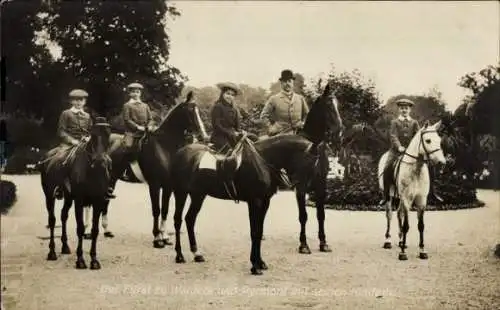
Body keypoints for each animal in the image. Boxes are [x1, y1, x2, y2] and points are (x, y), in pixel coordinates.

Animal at [40, 118, 113, 268]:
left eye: (108, 136)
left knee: (63, 215)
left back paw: (65, 246)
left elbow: (95, 230)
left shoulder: (98, 201)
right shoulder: (79, 201)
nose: (100, 162)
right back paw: (52, 252)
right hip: (49, 196)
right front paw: (80, 260)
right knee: (52, 220)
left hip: (68, 198)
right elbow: (80, 228)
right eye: (93, 136)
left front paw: (94, 260)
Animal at [101, 93, 205, 248]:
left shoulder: (168, 186)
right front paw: (157, 238)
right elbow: (156, 210)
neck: (164, 146)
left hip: (112, 179)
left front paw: (165, 237)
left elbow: (165, 209)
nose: (204, 135)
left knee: (105, 200)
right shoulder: (154, 185)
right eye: (191, 111)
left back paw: (106, 230)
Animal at [170, 83, 342, 274]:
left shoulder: (266, 200)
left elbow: (259, 231)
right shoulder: (256, 200)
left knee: (189, 219)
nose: (339, 133)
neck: (264, 159)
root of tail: (182, 151)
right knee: (178, 220)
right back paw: (179, 255)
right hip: (180, 193)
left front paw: (260, 262)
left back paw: (197, 253)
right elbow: (256, 231)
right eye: (329, 106)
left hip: (198, 194)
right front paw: (255, 265)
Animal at [376, 120, 448, 260]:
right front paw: (403, 253)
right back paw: (388, 241)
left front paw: (422, 250)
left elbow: (421, 226)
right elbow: (406, 226)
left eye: (439, 140)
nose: (442, 162)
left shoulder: (422, 201)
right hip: (389, 196)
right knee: (390, 215)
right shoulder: (406, 199)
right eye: (428, 140)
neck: (416, 169)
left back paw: (401, 241)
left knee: (399, 214)